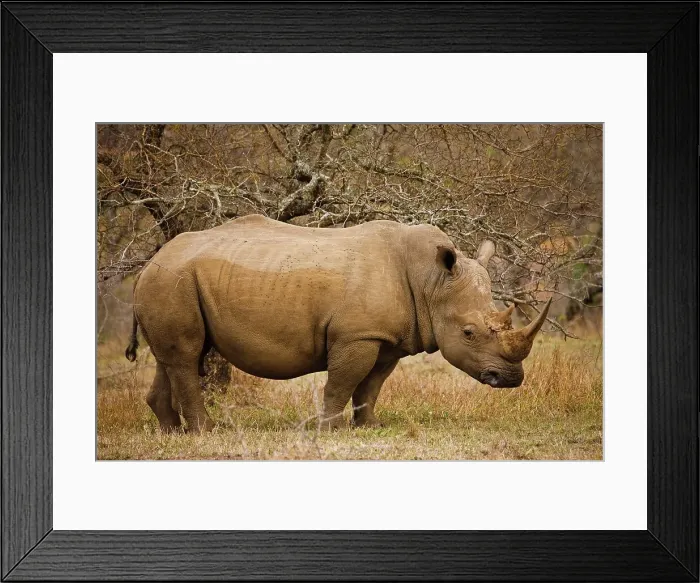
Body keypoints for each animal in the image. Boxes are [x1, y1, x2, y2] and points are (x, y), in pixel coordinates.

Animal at [126, 214, 551, 432]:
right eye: (468, 333)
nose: (511, 379)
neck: (431, 281)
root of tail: (149, 262)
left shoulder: (387, 337)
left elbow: (372, 385)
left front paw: (370, 426)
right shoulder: (357, 334)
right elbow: (343, 381)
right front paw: (328, 428)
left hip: (171, 281)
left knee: (176, 356)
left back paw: (171, 431)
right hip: (172, 279)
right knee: (186, 355)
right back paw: (207, 431)